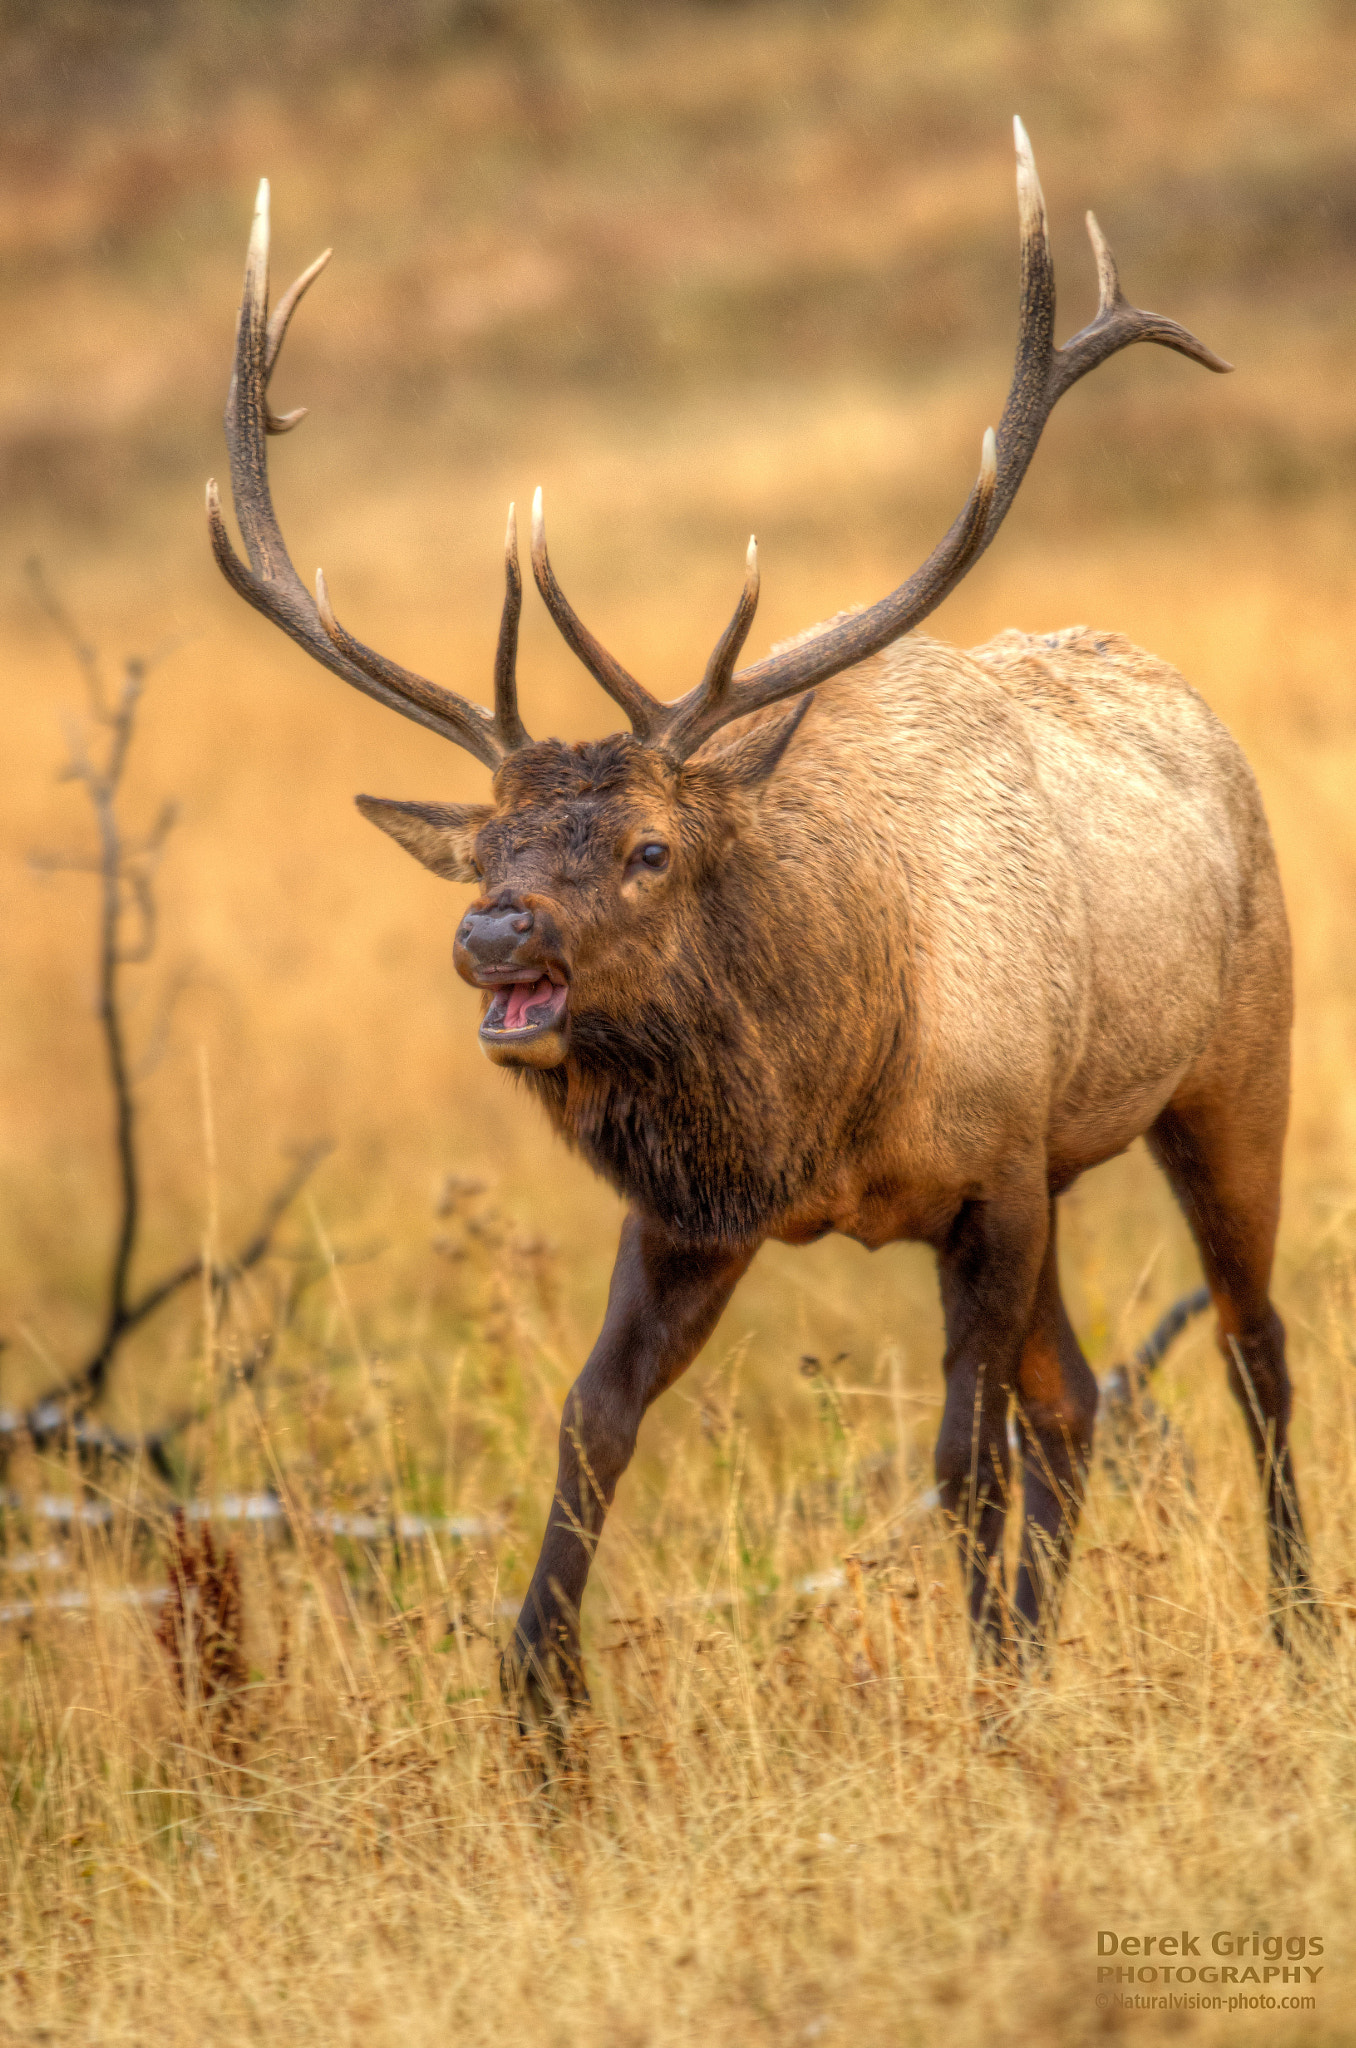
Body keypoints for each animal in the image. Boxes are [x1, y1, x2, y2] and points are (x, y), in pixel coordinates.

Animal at [208, 120, 1318, 1703]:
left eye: (651, 847)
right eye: (486, 851)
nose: (494, 937)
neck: (833, 1084)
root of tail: (1206, 720)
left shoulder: (990, 1174)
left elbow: (958, 1458)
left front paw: (984, 1700)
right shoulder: (709, 1208)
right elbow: (592, 1421)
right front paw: (535, 1700)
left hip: (1234, 1059)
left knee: (1251, 1340)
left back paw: (1294, 1622)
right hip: (1065, 1166)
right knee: (1083, 1397)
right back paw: (1053, 1643)